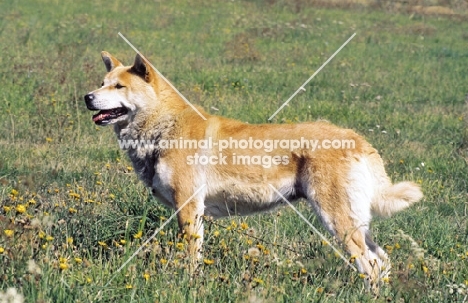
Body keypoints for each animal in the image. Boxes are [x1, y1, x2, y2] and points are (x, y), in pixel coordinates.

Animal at [85, 51, 424, 292]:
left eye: (119, 86)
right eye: (102, 83)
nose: (87, 97)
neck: (164, 126)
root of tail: (357, 139)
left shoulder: (189, 208)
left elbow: (191, 259)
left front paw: (188, 285)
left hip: (338, 221)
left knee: (371, 265)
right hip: (355, 222)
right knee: (382, 260)